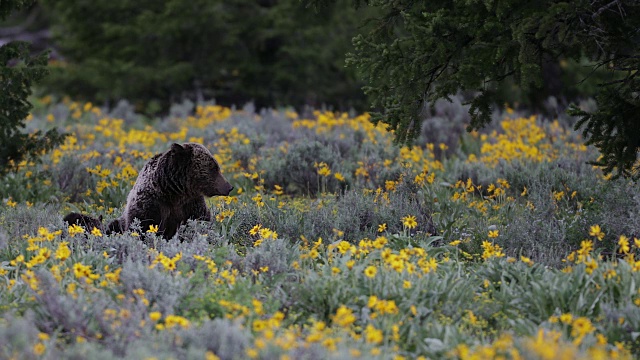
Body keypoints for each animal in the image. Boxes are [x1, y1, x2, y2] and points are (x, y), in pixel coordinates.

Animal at [64, 143, 232, 239]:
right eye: (213, 167)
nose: (229, 187)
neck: (175, 192)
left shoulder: (191, 204)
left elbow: (201, 221)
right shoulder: (151, 205)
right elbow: (144, 227)